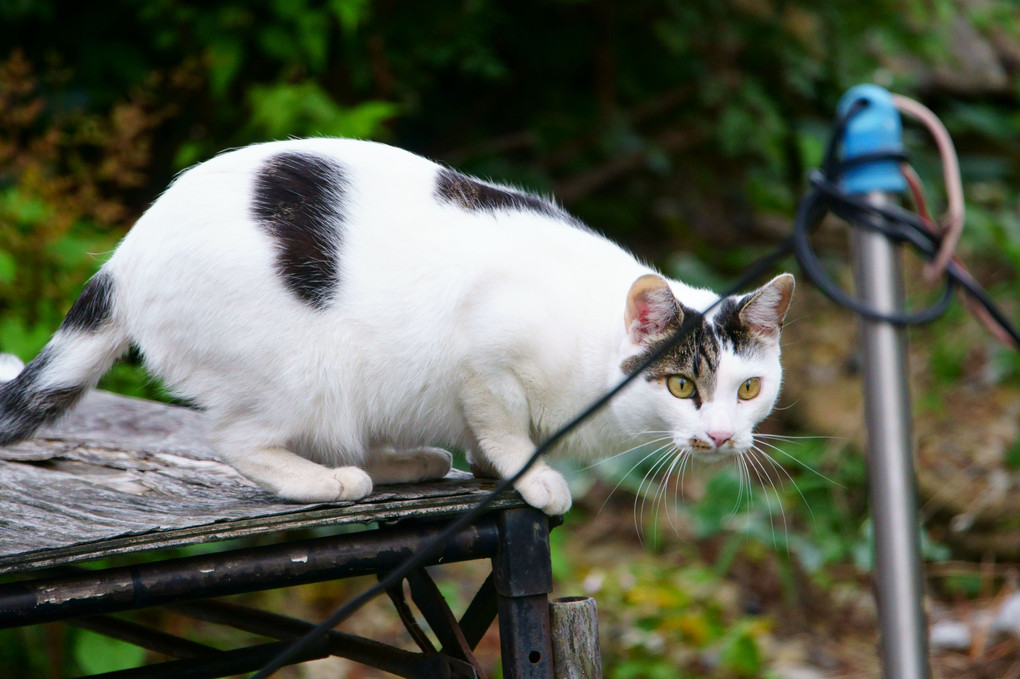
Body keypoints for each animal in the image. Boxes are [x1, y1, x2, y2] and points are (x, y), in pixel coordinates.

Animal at [0, 137, 791, 513]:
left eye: (749, 390)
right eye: (683, 386)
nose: (722, 437)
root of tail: (128, 255)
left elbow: (489, 435)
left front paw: (487, 466)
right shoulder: (484, 351)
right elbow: (505, 424)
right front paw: (531, 477)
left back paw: (407, 462)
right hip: (301, 376)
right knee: (234, 438)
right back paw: (331, 482)